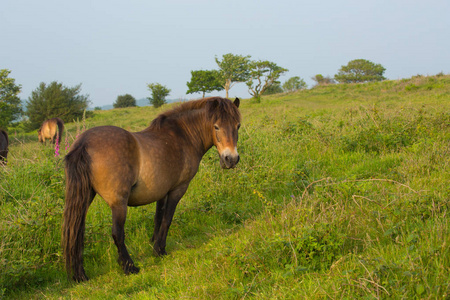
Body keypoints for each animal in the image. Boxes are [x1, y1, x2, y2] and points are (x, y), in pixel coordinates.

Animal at [63, 96, 243, 282]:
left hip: (86, 198)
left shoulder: (161, 191)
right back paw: (129, 267)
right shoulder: (177, 189)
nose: (231, 159)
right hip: (118, 203)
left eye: (237, 126)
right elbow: (167, 219)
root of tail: (84, 143)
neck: (183, 136)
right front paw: (160, 250)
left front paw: (154, 243)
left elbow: (158, 218)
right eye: (216, 126)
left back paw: (80, 274)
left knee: (76, 233)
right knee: (117, 233)